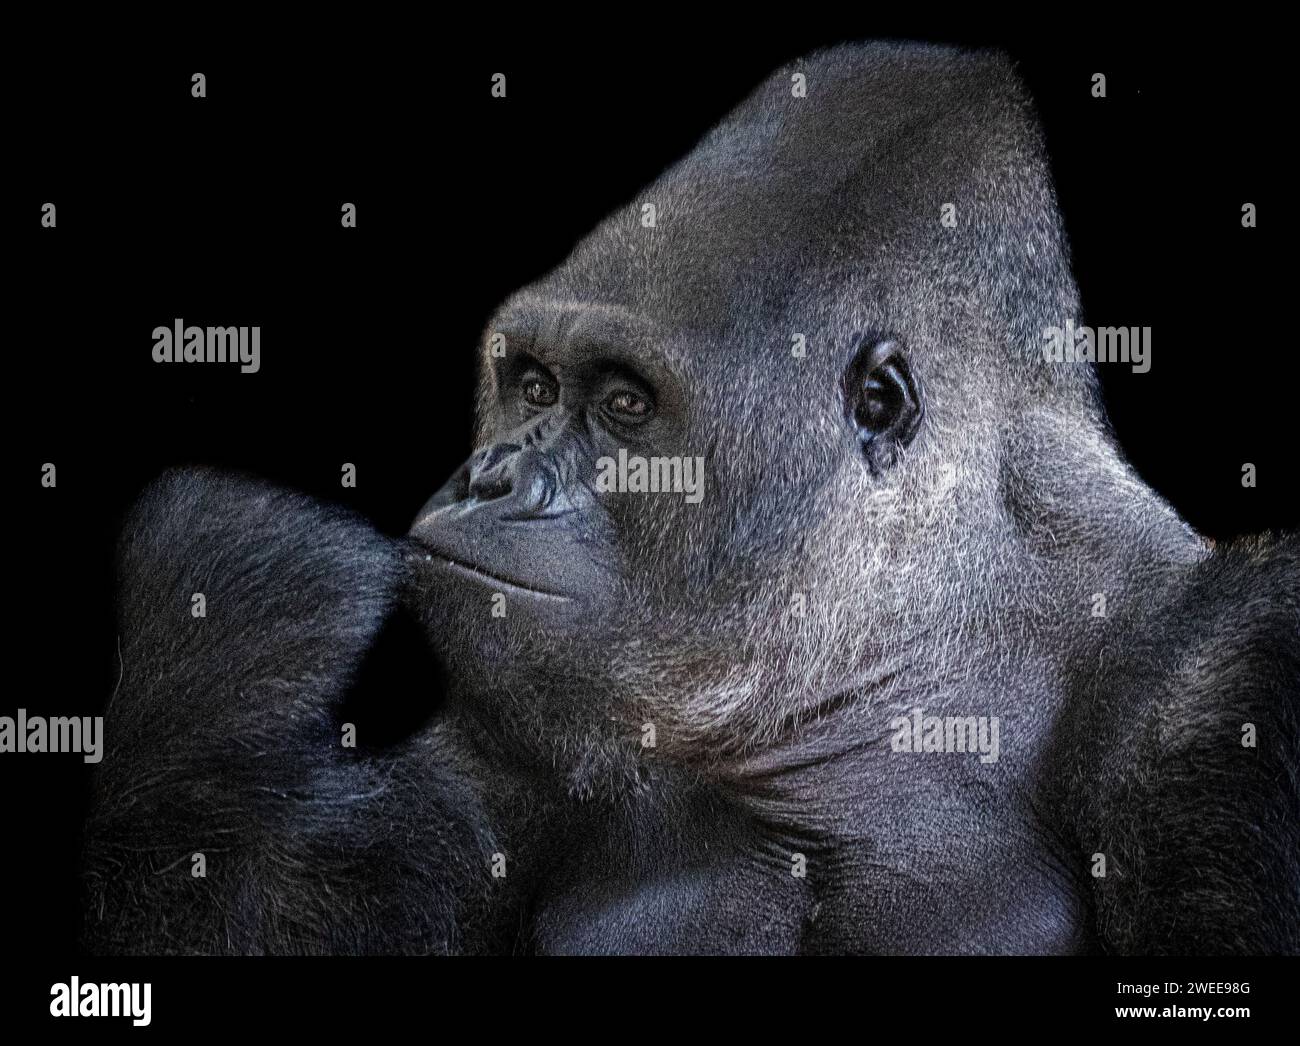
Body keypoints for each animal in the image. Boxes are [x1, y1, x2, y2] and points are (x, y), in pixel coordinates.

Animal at [83, 42, 1299, 955]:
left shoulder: (1232, 673)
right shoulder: (485, 774)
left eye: (625, 405)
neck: (916, 634)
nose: (487, 475)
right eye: (530, 385)